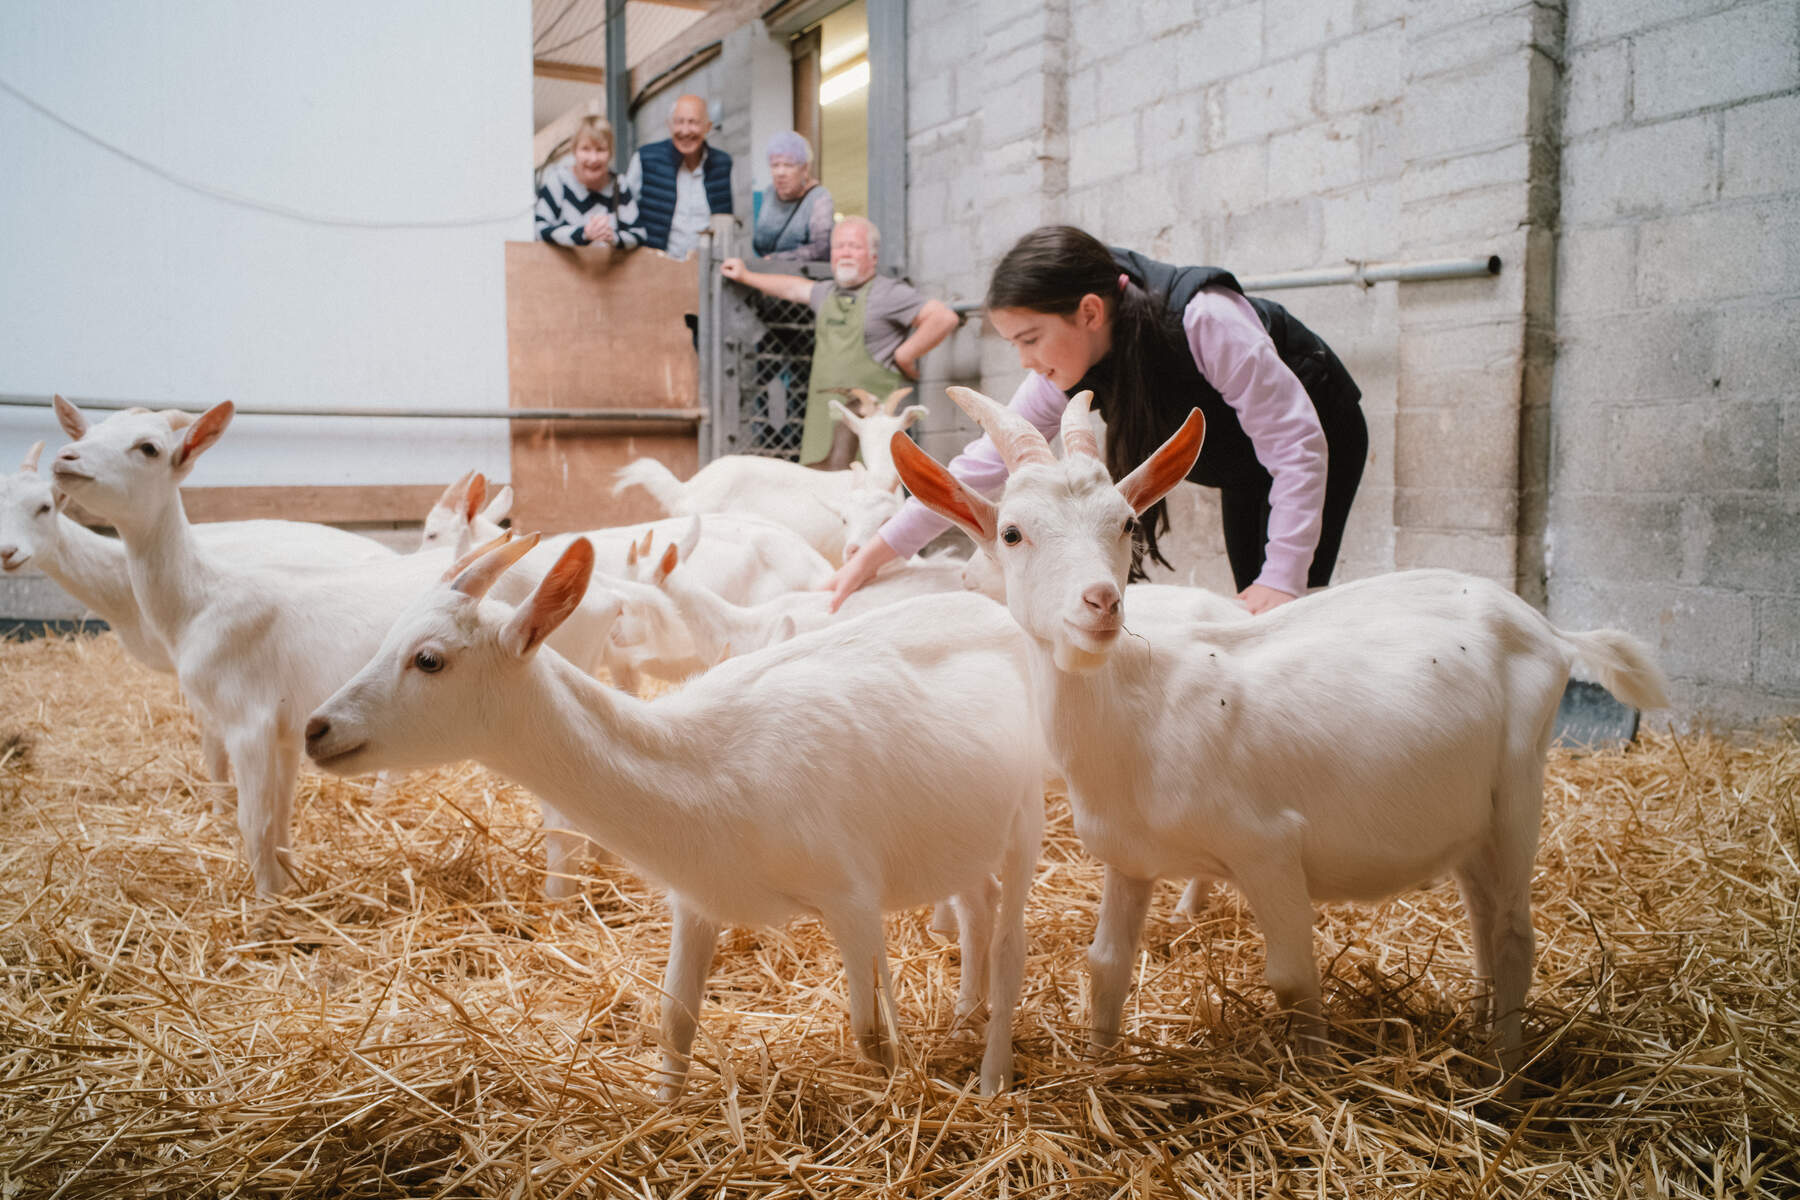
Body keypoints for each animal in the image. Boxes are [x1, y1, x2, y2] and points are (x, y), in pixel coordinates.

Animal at [304, 534, 1047, 1098]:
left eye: (429, 659)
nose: (318, 729)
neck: (706, 760)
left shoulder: (853, 900)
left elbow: (871, 1036)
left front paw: (894, 1093)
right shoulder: (697, 900)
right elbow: (675, 1019)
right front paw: (665, 1105)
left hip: (1028, 815)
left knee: (1010, 942)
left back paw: (992, 1076)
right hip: (958, 832)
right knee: (977, 902)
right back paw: (963, 1017)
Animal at [891, 386, 1669, 1085]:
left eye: (1127, 524)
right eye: (1012, 532)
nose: (1100, 603)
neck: (1141, 707)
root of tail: (1548, 630)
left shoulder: (1267, 849)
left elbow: (1294, 980)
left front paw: (1317, 1083)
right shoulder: (1130, 860)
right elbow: (1105, 967)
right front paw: (1099, 1071)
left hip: (1517, 793)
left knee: (1511, 934)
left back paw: (1505, 1077)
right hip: (1471, 824)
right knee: (1484, 924)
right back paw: (1482, 1043)